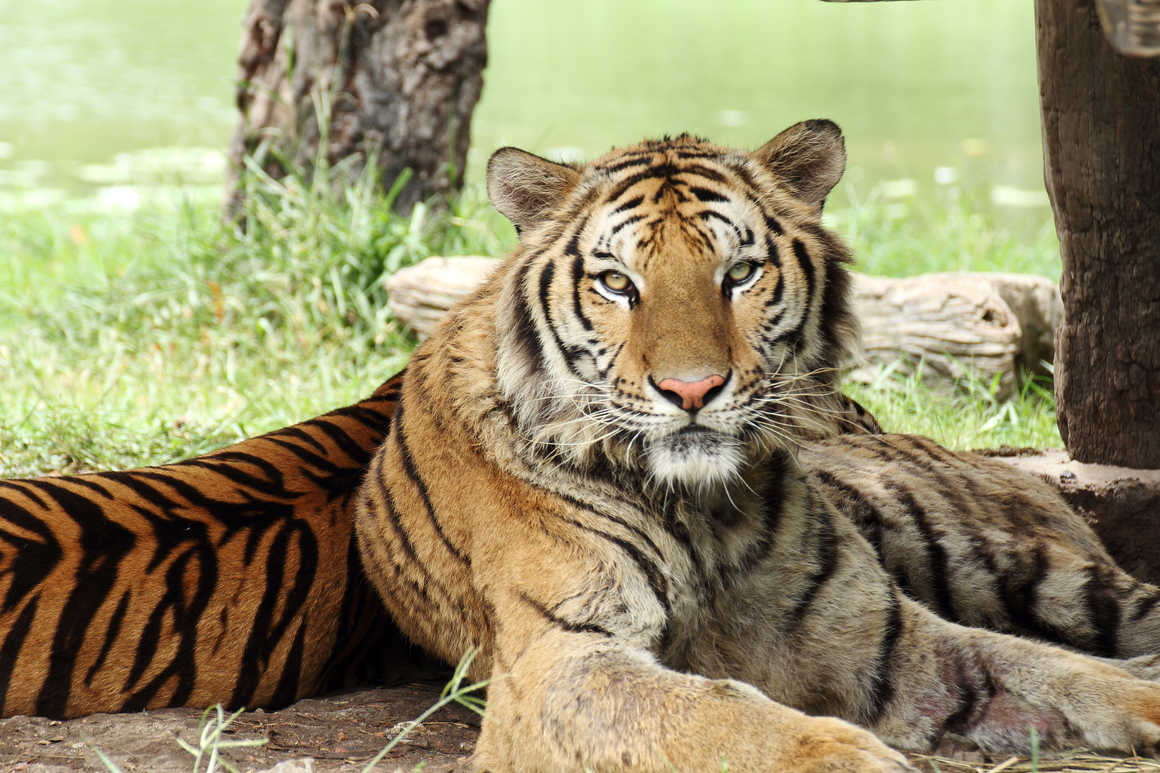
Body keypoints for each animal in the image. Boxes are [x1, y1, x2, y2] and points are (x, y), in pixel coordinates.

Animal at [353, 120, 1160, 772]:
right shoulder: (563, 658)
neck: (705, 513)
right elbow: (719, 713)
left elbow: (1057, 670)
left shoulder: (887, 641)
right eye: (616, 282)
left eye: (739, 272)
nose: (692, 390)